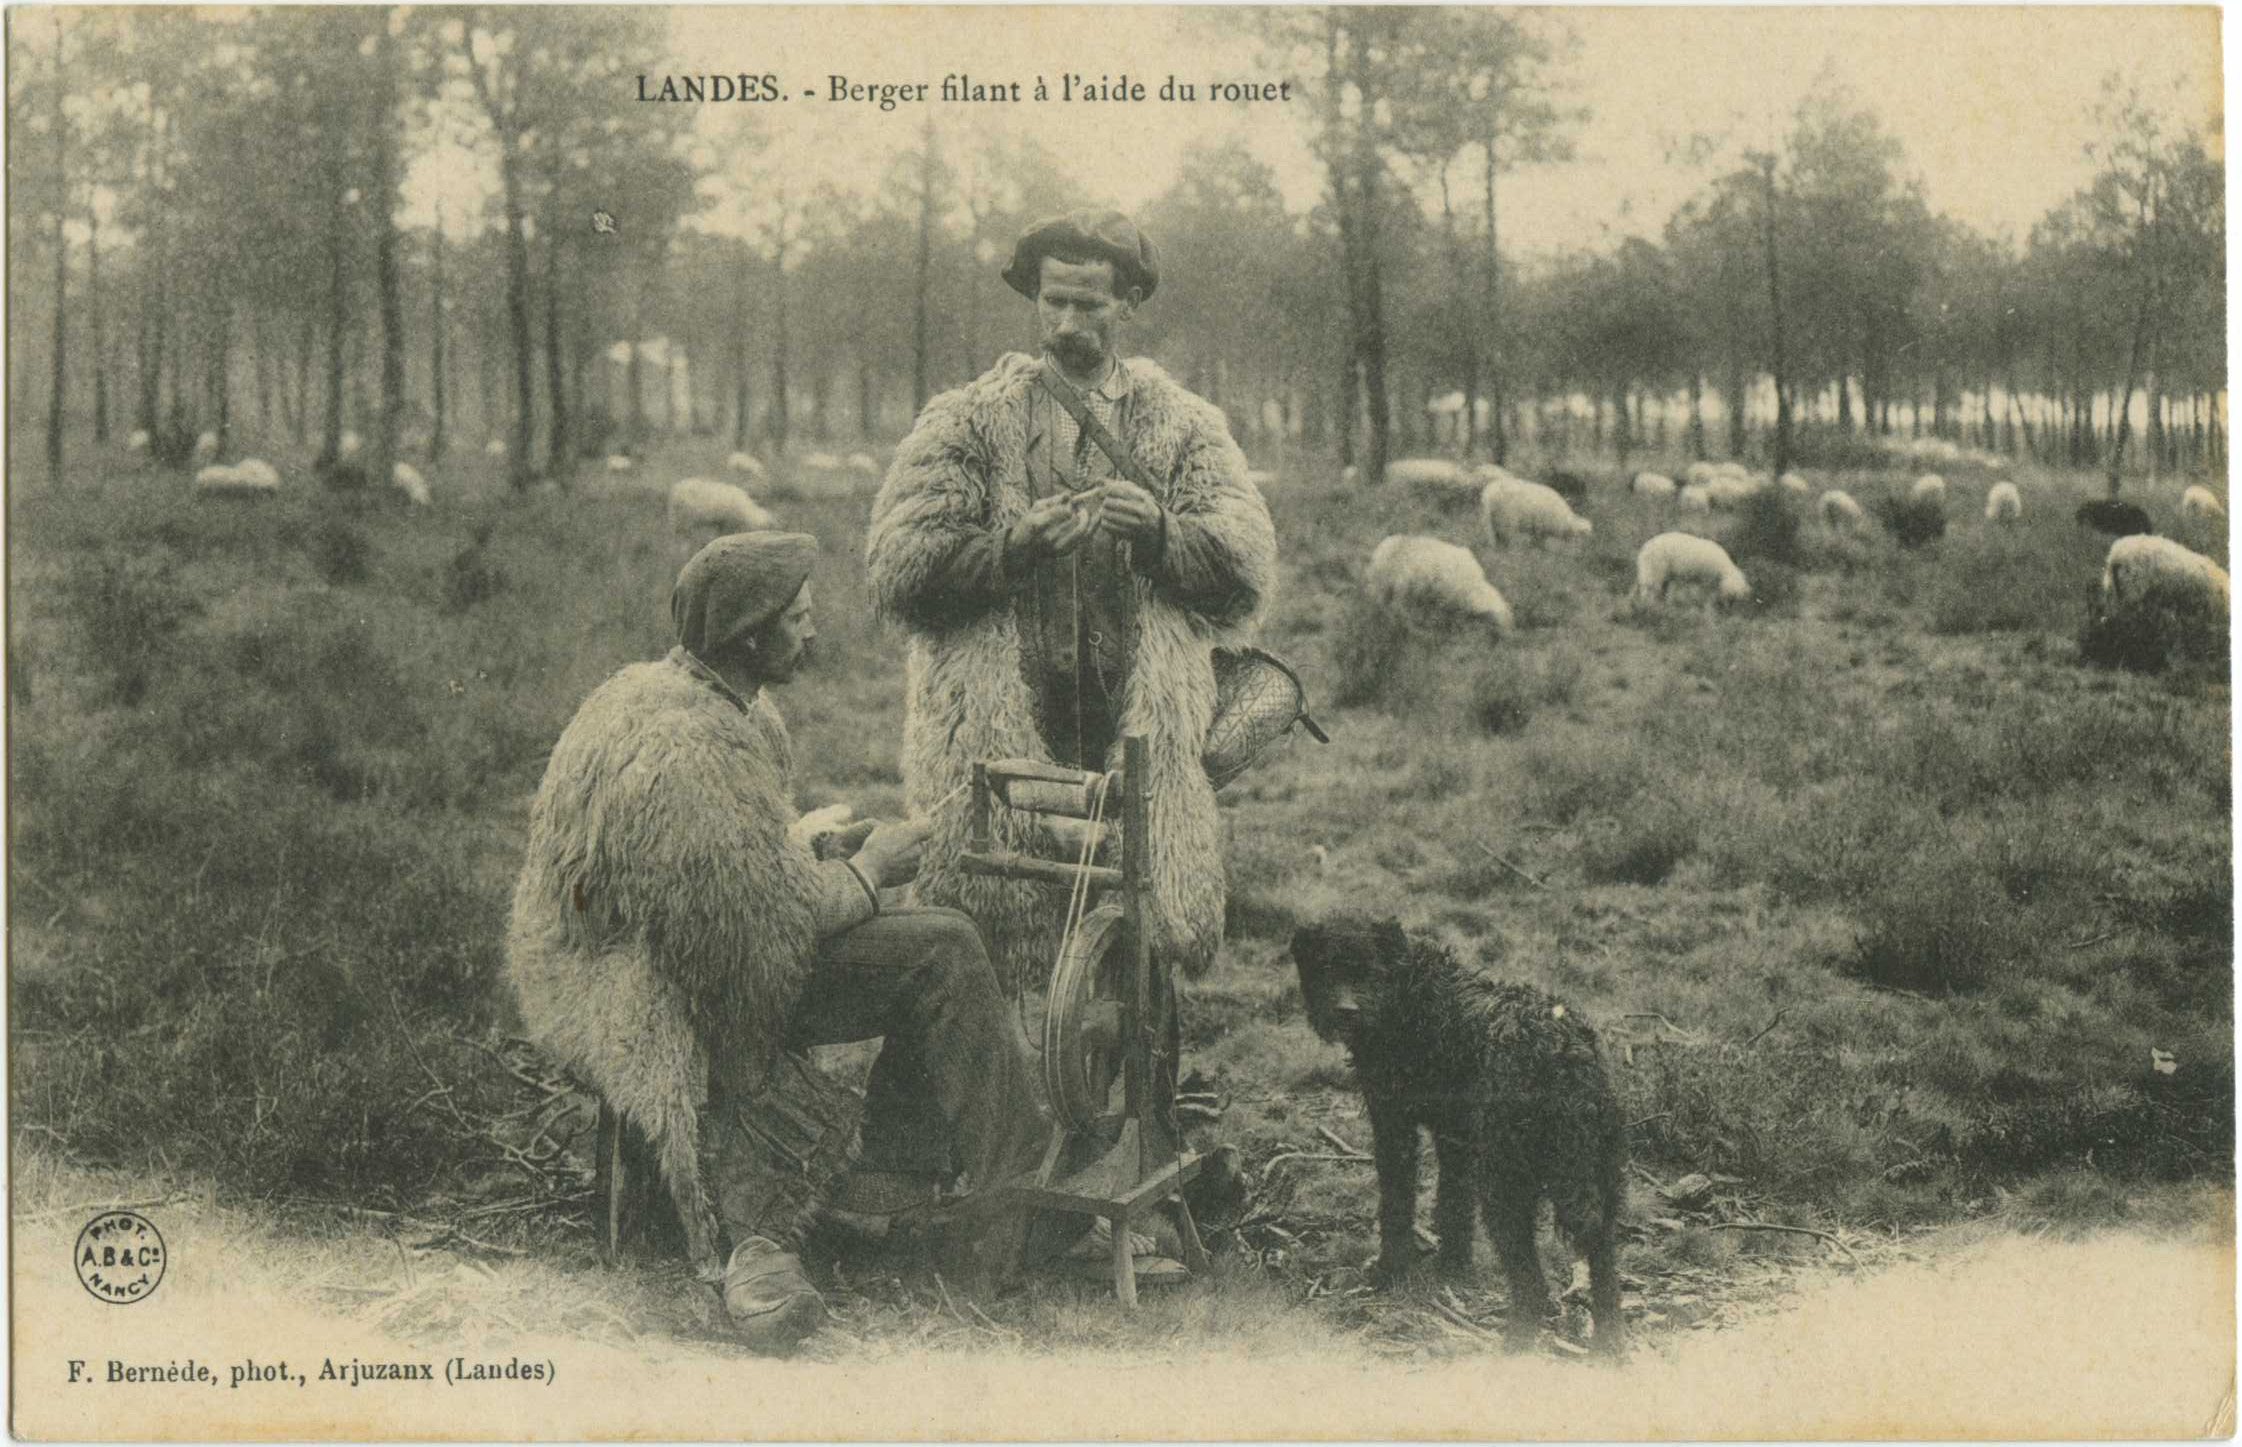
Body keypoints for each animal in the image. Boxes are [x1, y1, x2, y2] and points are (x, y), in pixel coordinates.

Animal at [1300, 915, 1632, 1355]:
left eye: (1368, 971)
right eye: (1325, 967)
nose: (1345, 1011)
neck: (1407, 991)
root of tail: (1566, 1050)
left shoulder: (1394, 1125)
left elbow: (1396, 1203)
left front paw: (1391, 1271)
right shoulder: (1454, 1137)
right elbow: (1452, 1203)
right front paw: (1453, 1268)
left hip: (1506, 1178)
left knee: (1531, 1279)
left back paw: (1517, 1341)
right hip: (1598, 1170)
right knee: (1603, 1255)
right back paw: (1608, 1344)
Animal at [1354, 529, 1515, 632]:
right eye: (1498, 624)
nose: (1509, 637)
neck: (1474, 587)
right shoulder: (1446, 598)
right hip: (1389, 586)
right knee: (1387, 607)